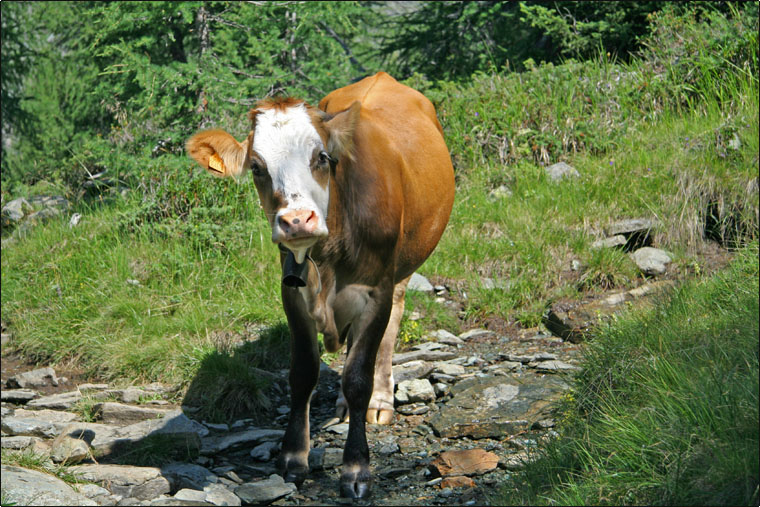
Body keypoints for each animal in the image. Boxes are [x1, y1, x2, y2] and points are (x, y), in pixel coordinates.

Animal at [186, 71, 454, 500]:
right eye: (257, 168)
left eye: (322, 158)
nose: (297, 220)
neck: (330, 252)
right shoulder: (292, 292)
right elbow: (302, 374)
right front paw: (294, 456)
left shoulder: (375, 292)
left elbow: (358, 375)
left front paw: (356, 468)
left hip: (402, 267)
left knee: (390, 329)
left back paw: (380, 400)